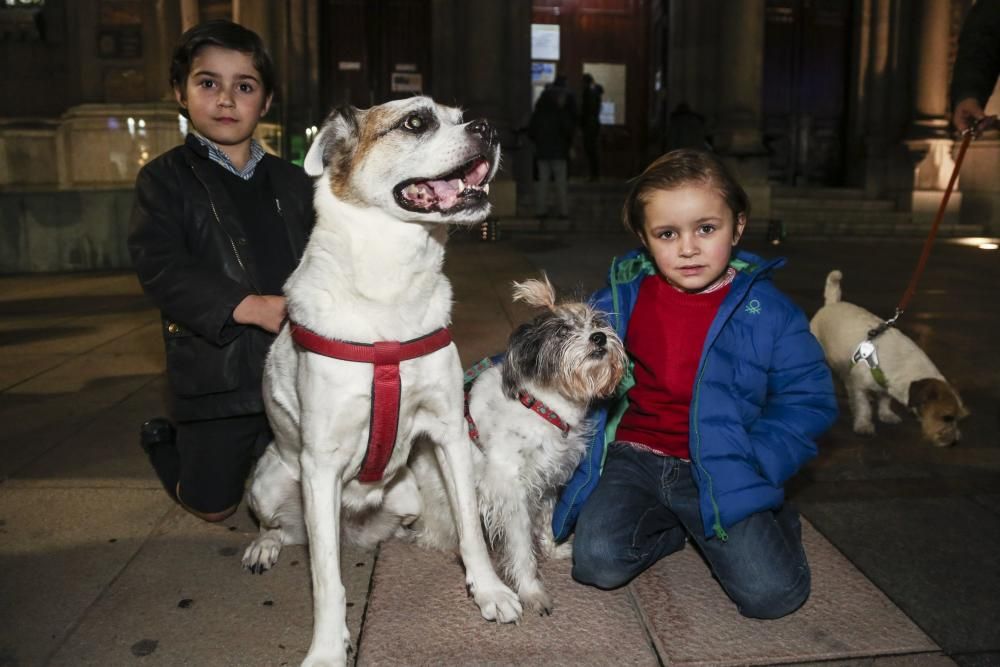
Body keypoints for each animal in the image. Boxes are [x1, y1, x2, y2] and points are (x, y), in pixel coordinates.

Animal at [243, 96, 524, 664]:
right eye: (416, 121)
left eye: (460, 113)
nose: (488, 127)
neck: (390, 287)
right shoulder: (321, 465)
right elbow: (326, 581)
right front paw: (328, 649)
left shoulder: (449, 433)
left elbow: (470, 528)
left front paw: (488, 591)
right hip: (269, 482)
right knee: (281, 529)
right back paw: (263, 544)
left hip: (406, 489)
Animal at [408, 276, 624, 616]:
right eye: (561, 332)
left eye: (597, 323)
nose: (600, 338)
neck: (542, 406)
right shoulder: (511, 493)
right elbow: (522, 549)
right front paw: (531, 591)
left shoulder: (547, 482)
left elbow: (547, 521)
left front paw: (553, 548)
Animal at [812, 272, 968, 448]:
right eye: (947, 417)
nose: (955, 442)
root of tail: (832, 303)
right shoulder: (859, 386)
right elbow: (863, 407)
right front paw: (863, 425)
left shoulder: (885, 383)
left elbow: (885, 400)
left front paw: (886, 414)